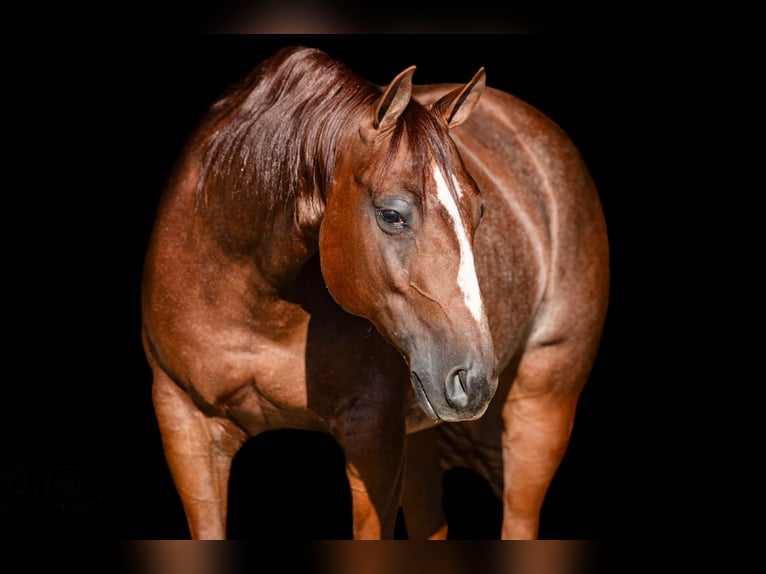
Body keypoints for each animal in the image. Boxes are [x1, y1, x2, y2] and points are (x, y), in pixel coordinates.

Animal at [141, 45, 609, 539]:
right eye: (392, 214)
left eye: (480, 211)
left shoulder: (372, 440)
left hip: (542, 406)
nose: (476, 380)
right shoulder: (185, 425)